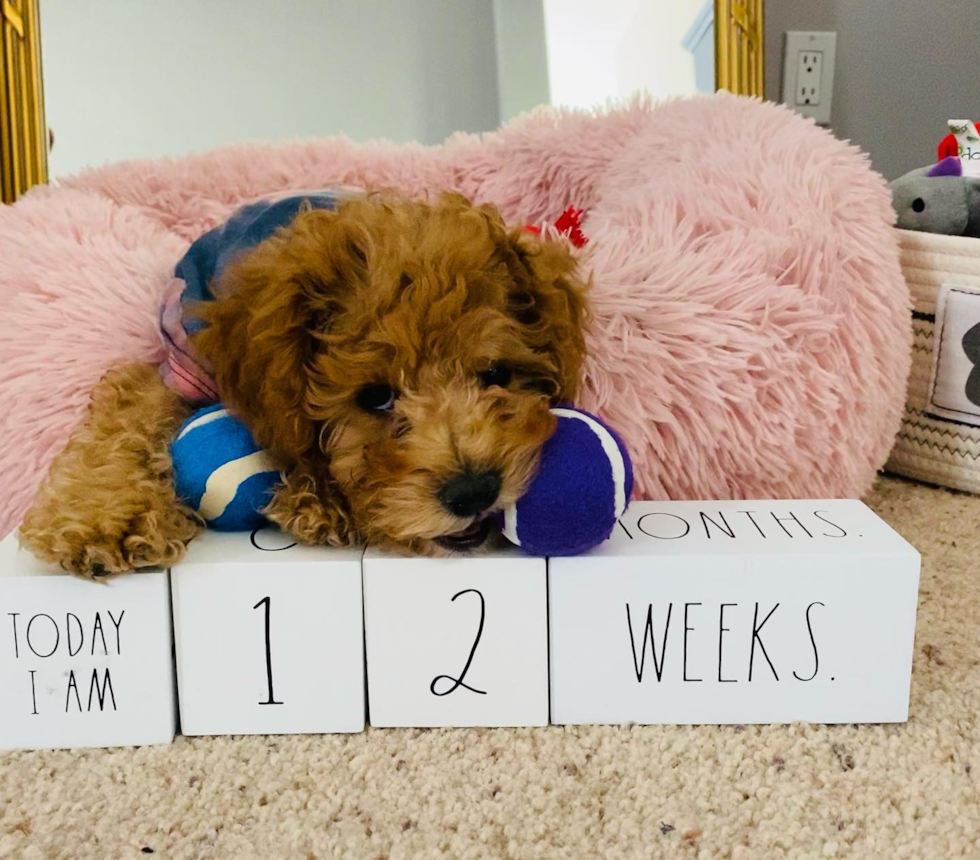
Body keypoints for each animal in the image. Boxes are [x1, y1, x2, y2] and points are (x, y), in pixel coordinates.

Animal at [21, 191, 588, 576]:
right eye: (375, 397)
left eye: (496, 375)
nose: (473, 491)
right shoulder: (177, 369)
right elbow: (126, 414)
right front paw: (101, 521)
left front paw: (317, 498)